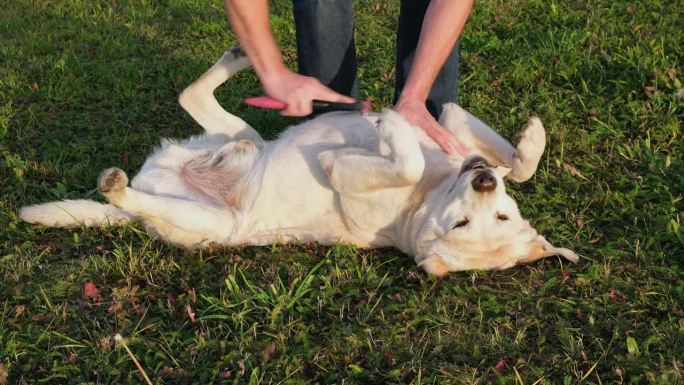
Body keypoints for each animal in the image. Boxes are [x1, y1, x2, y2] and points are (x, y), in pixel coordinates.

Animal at [18, 47, 576, 276]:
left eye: (481, 222)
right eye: (494, 215)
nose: (482, 181)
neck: (428, 198)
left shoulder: (355, 172)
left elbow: (403, 161)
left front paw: (389, 129)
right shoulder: (452, 123)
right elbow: (517, 163)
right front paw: (529, 141)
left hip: (215, 223)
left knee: (138, 191)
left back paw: (116, 188)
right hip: (243, 136)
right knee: (191, 94)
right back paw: (239, 58)